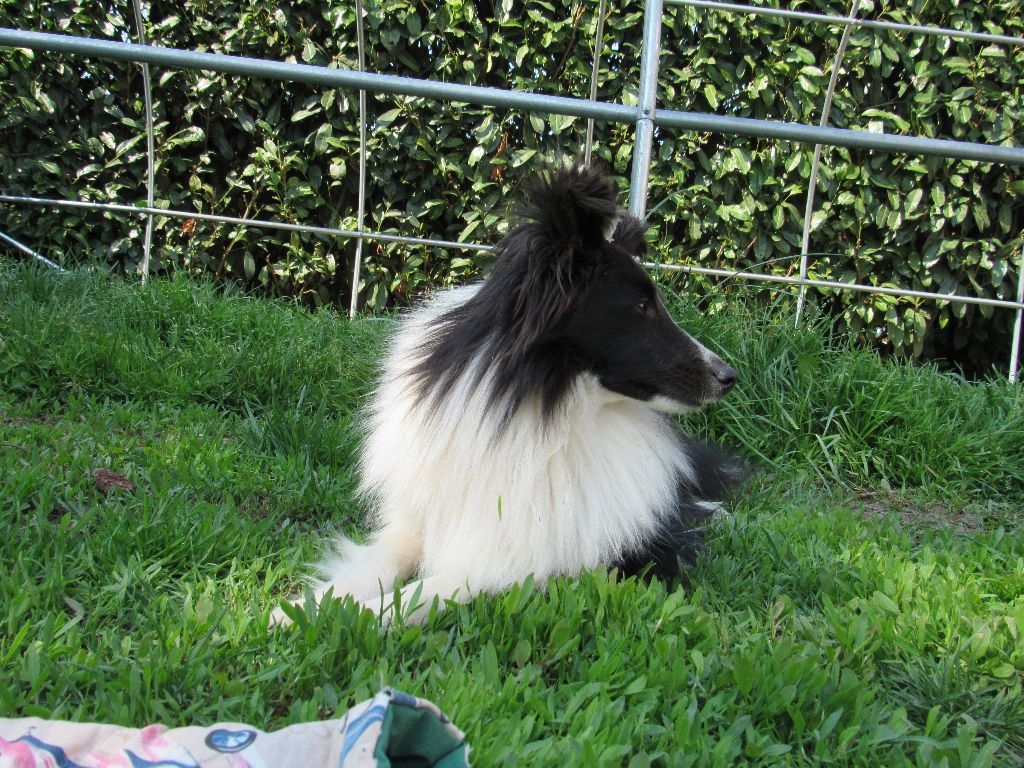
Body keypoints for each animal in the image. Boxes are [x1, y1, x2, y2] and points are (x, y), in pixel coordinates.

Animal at [278, 164, 744, 626]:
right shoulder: (419, 523)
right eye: (642, 308)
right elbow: (377, 566)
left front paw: (354, 616)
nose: (728, 376)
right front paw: (297, 611)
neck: (543, 410)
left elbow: (424, 593)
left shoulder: (549, 561)